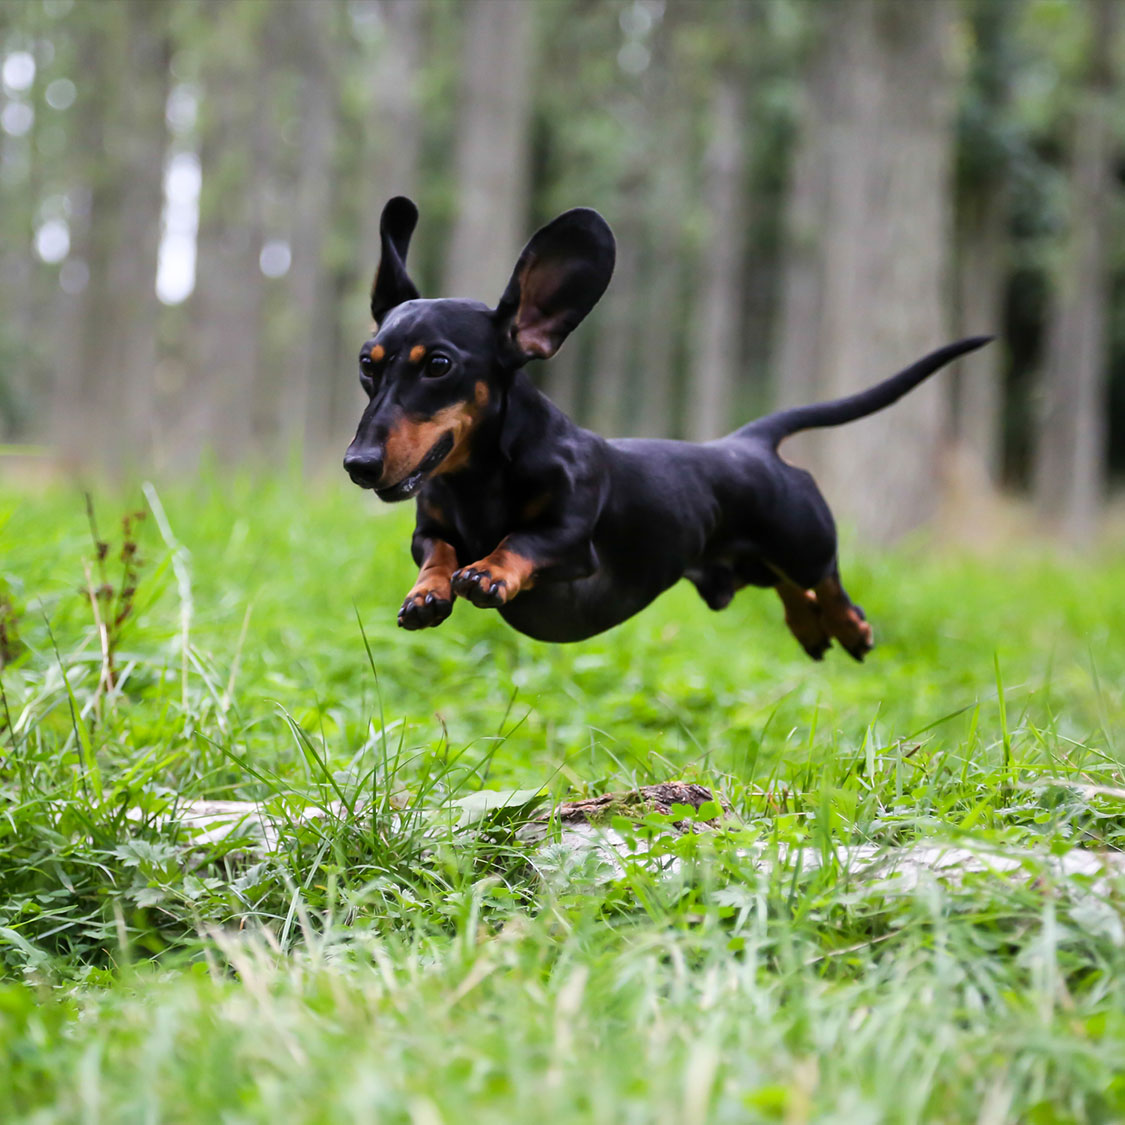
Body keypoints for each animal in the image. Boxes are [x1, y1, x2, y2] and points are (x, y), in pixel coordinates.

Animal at [339, 198, 985, 657]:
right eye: (367, 364)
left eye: (438, 365)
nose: (358, 465)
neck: (479, 479)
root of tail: (748, 442)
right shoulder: (429, 529)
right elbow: (439, 551)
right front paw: (427, 591)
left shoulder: (570, 538)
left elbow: (520, 541)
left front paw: (489, 571)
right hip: (752, 561)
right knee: (788, 586)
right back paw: (809, 628)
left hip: (802, 539)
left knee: (824, 577)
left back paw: (850, 627)